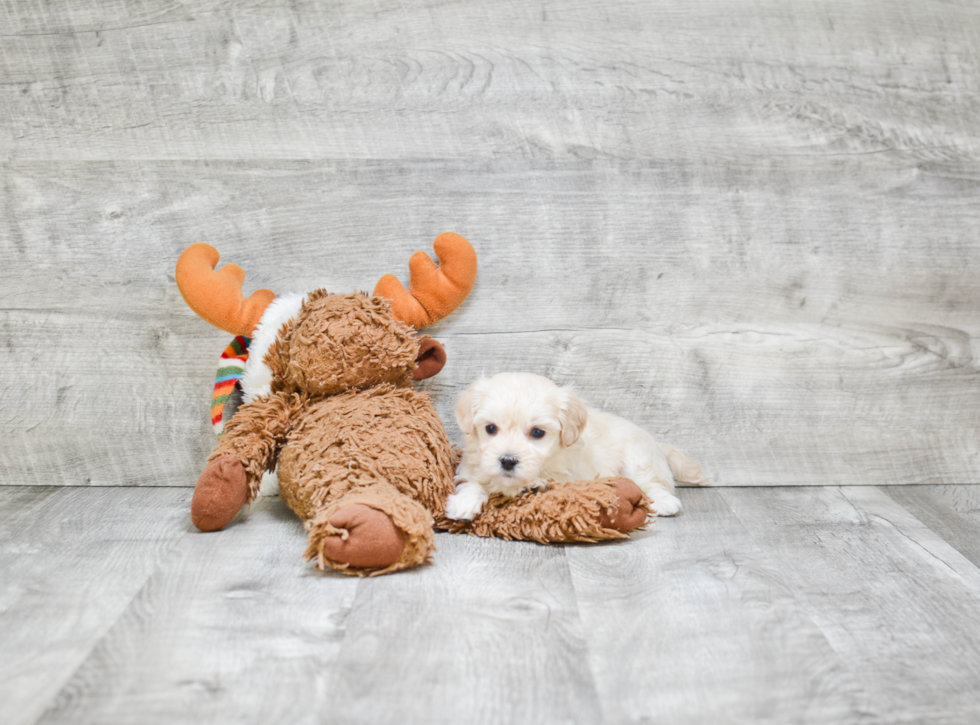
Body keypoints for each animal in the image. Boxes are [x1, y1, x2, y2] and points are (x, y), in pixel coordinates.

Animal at [444, 374, 704, 520]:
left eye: (537, 433)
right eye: (490, 428)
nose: (507, 461)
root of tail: (656, 443)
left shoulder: (566, 476)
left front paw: (532, 485)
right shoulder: (471, 465)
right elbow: (473, 481)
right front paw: (464, 502)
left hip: (639, 459)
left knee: (651, 484)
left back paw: (664, 502)